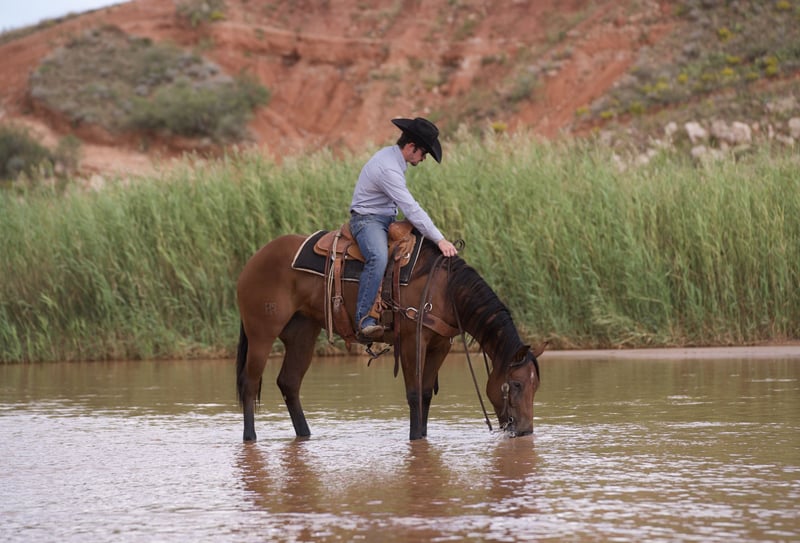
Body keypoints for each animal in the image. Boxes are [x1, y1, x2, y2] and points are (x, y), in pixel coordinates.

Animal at [235, 231, 542, 441]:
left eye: (535, 385)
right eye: (515, 384)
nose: (525, 431)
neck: (444, 289)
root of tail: (254, 260)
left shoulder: (440, 345)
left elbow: (426, 393)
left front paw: (423, 437)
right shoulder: (410, 341)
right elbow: (414, 393)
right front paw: (415, 438)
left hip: (303, 333)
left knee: (289, 383)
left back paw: (305, 434)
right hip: (261, 334)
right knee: (249, 383)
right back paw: (250, 437)